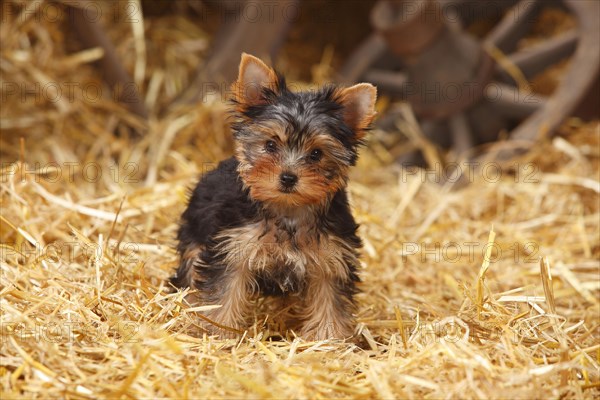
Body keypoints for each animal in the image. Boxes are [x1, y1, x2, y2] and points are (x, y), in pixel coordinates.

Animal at [171, 53, 376, 340]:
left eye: (316, 154)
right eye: (270, 145)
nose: (288, 177)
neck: (288, 211)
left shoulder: (332, 257)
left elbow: (330, 300)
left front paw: (328, 339)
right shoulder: (232, 248)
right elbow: (224, 293)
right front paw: (218, 332)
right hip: (195, 231)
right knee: (190, 267)